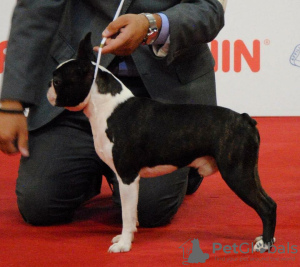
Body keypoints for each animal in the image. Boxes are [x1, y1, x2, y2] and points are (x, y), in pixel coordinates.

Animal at [46, 33, 276, 253]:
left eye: (57, 82)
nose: (48, 87)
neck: (106, 107)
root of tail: (245, 119)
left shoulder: (127, 177)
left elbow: (127, 215)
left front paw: (124, 245)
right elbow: (131, 214)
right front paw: (124, 238)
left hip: (236, 172)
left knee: (266, 206)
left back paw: (265, 244)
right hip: (248, 170)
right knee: (269, 202)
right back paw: (266, 239)